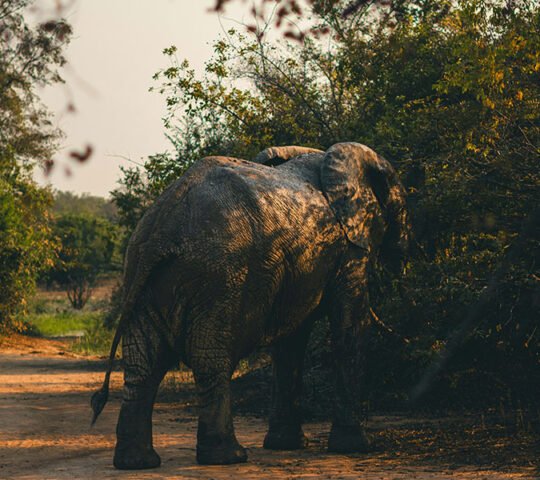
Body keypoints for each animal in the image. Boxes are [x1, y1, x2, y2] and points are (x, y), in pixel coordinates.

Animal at [92, 140, 410, 468]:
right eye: (402, 206)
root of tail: (162, 228)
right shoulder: (349, 249)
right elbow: (351, 328)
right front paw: (358, 446)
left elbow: (290, 344)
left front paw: (286, 445)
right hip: (222, 277)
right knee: (210, 358)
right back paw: (228, 456)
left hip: (143, 276)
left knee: (143, 367)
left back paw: (137, 462)